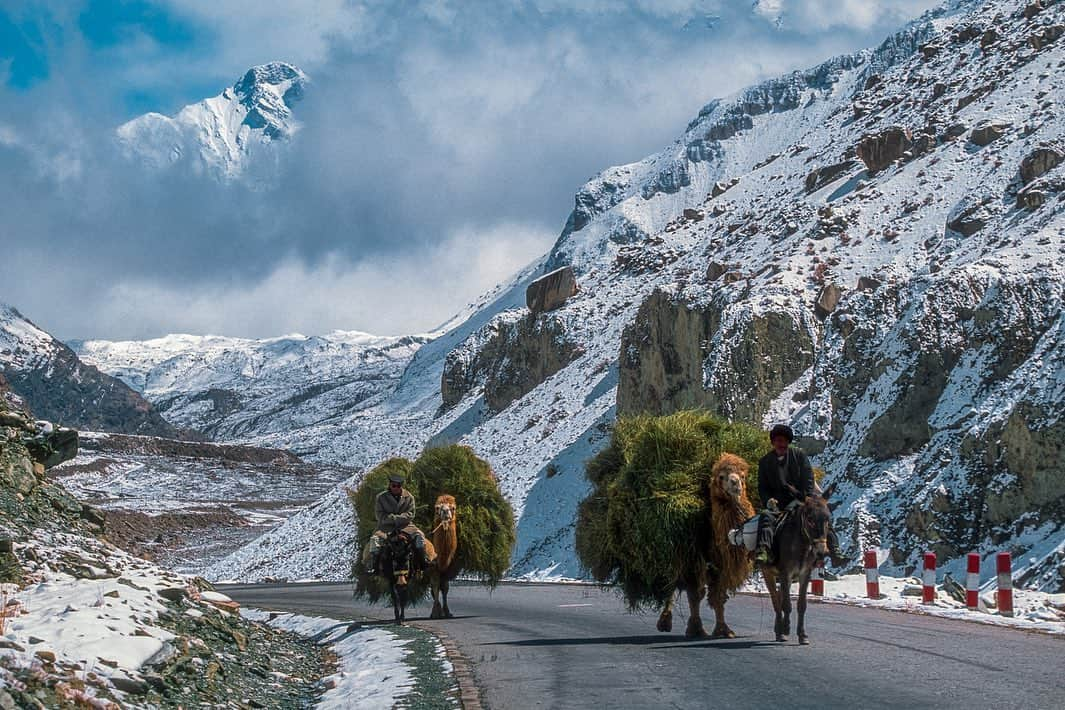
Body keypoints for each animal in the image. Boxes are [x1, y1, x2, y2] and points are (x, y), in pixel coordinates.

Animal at [349, 444, 515, 604]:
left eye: (454, 507)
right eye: (437, 508)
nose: (446, 513)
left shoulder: (450, 569)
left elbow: (444, 588)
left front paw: (446, 610)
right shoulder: (431, 570)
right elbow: (435, 589)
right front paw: (437, 609)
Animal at [656, 455, 758, 638]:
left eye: (743, 476)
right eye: (721, 477)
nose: (735, 484)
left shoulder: (722, 567)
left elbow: (718, 597)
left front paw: (724, 630)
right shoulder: (695, 561)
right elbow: (695, 594)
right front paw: (696, 629)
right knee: (671, 584)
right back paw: (664, 622)